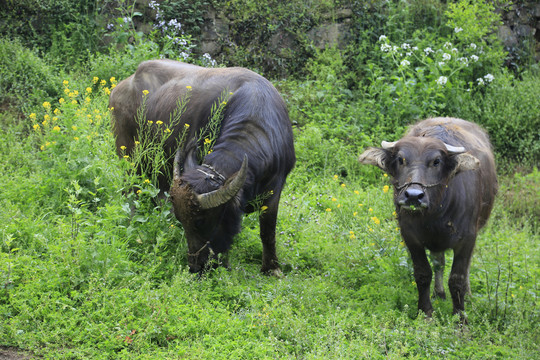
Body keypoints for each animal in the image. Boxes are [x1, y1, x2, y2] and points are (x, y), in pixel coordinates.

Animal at [358, 118, 498, 318]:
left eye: (436, 161)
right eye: (401, 159)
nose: (413, 196)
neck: (436, 216)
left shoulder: (468, 238)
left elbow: (457, 279)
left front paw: (460, 318)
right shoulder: (410, 236)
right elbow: (423, 273)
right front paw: (426, 312)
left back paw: (469, 296)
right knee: (439, 262)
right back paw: (439, 293)